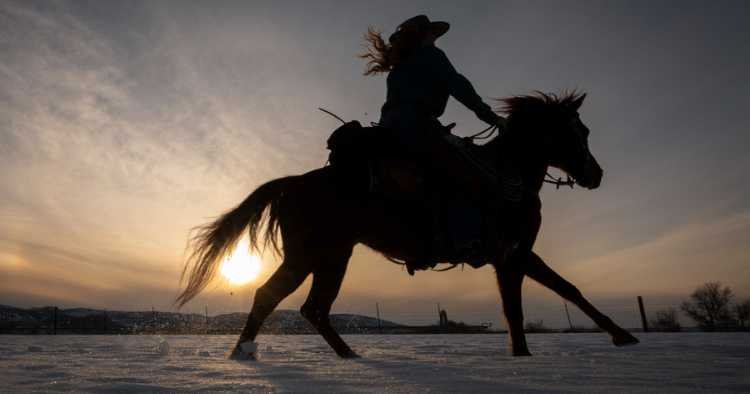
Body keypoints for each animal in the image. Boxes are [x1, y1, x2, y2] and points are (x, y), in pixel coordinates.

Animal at [176, 91, 640, 358]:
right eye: (578, 132)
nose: (596, 174)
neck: (507, 177)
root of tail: (294, 182)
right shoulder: (514, 255)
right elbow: (541, 299)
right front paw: (615, 337)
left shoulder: (513, 256)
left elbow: (542, 298)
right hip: (312, 255)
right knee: (272, 295)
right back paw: (244, 352)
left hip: (332, 257)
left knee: (312, 307)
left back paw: (346, 355)